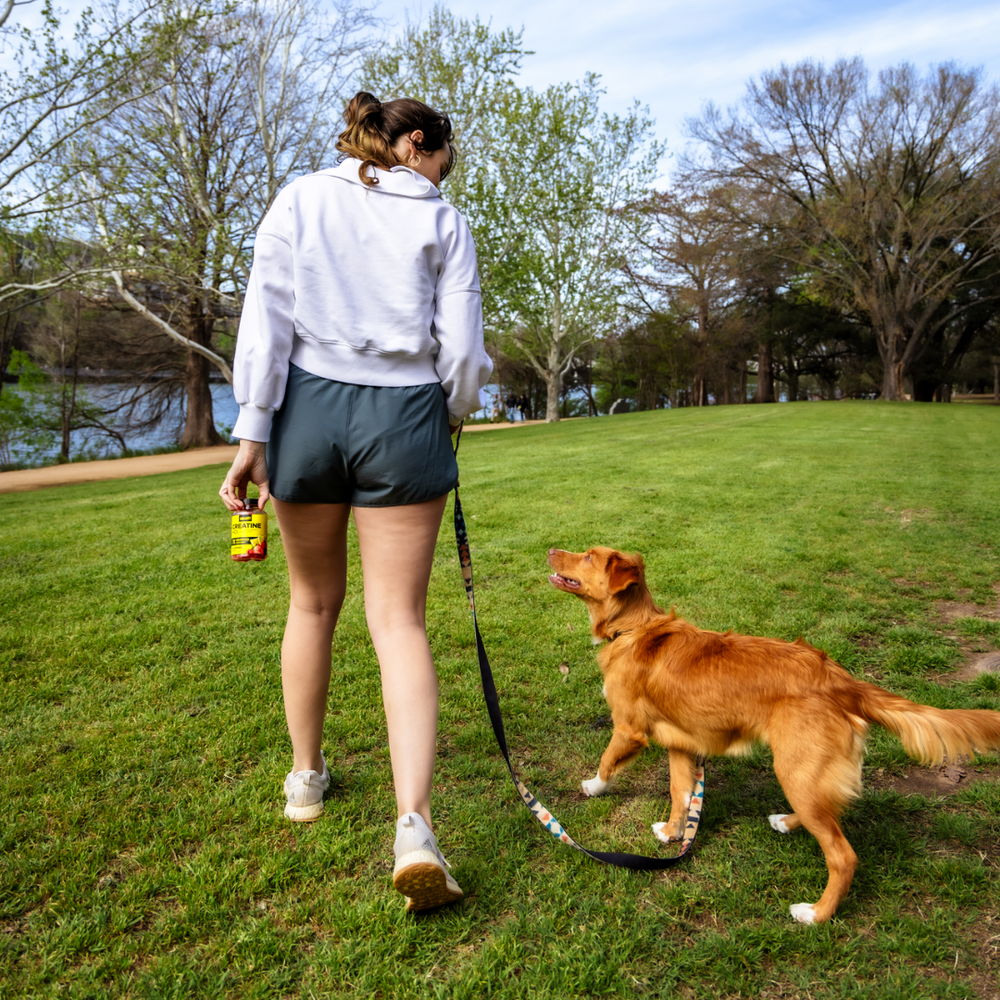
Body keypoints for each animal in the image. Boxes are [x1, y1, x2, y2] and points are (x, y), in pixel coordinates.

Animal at [548, 548, 1000, 920]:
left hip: (795, 768)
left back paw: (815, 914)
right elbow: (681, 794)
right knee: (829, 812)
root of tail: (840, 680)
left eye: (588, 556)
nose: (551, 549)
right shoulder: (681, 744)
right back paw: (787, 821)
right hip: (805, 773)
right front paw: (675, 833)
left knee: (842, 855)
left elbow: (608, 761)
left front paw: (593, 787)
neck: (633, 628)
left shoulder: (629, 729)